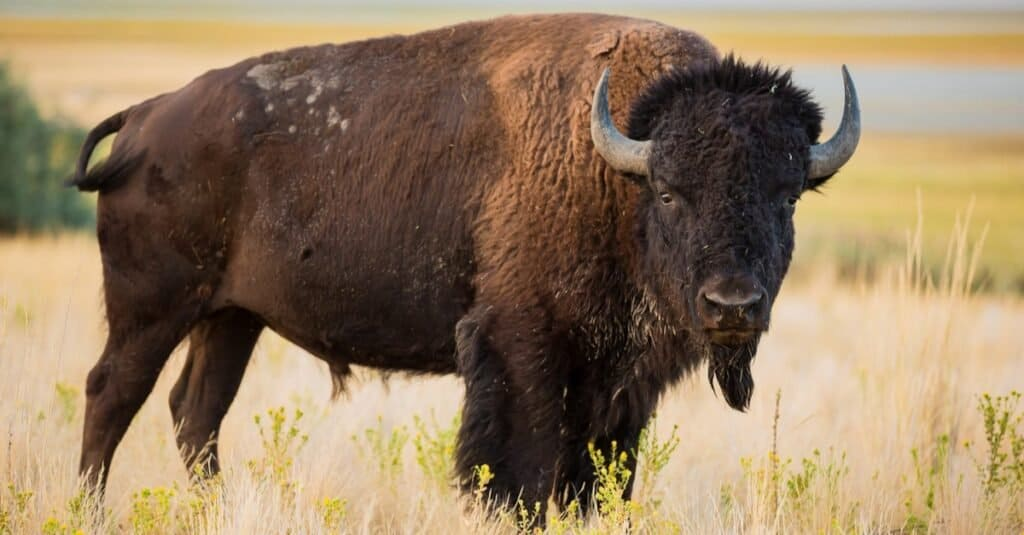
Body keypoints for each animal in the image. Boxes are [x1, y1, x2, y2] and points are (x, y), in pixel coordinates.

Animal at [70, 13, 859, 517]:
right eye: (669, 191)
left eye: (787, 195)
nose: (732, 305)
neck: (614, 170)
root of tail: (146, 117)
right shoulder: (522, 348)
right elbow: (522, 474)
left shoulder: (620, 382)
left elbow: (594, 482)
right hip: (152, 309)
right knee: (112, 395)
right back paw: (89, 509)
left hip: (231, 318)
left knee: (195, 412)